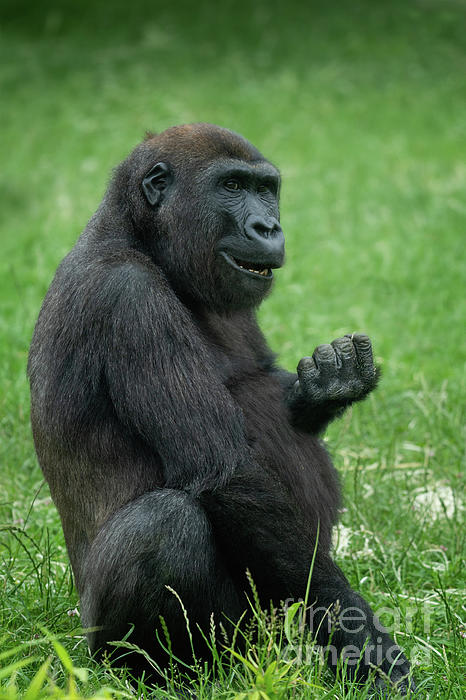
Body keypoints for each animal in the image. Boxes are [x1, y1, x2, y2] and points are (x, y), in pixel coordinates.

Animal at [28, 123, 416, 692]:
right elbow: (224, 469)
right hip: (114, 643)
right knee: (166, 525)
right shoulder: (129, 297)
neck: (134, 235)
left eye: (265, 189)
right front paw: (362, 638)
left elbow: (271, 394)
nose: (268, 225)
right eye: (231, 186)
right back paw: (164, 672)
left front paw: (328, 386)